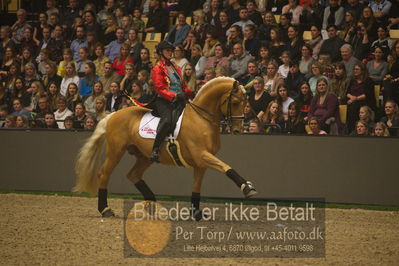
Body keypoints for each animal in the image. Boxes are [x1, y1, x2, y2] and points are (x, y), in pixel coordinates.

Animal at [73, 76, 258, 218]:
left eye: (246, 102)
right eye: (235, 102)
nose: (237, 130)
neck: (201, 118)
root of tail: (112, 115)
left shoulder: (201, 163)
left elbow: (196, 186)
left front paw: (196, 213)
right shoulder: (201, 155)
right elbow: (226, 167)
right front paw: (248, 188)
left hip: (144, 156)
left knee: (133, 175)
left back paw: (152, 205)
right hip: (116, 151)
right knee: (104, 174)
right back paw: (106, 209)